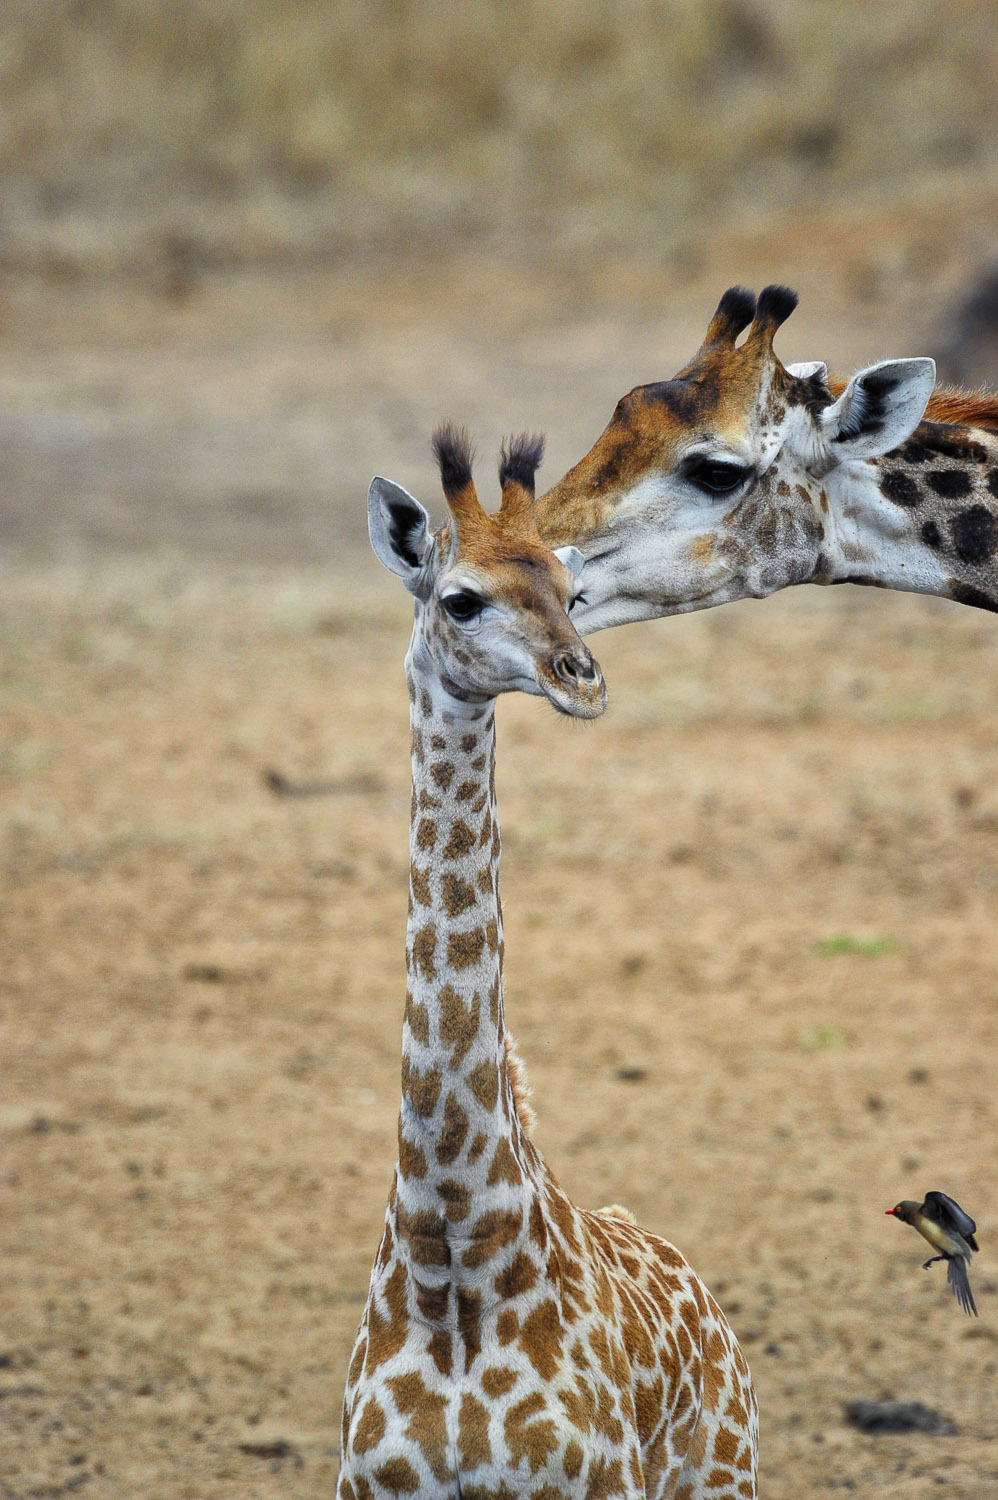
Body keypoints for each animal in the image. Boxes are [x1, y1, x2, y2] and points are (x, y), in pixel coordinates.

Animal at [339, 426, 758, 1500]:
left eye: (572, 588)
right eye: (461, 599)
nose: (583, 677)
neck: (452, 1245)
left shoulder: (588, 1481)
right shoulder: (366, 1483)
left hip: (724, 1473)